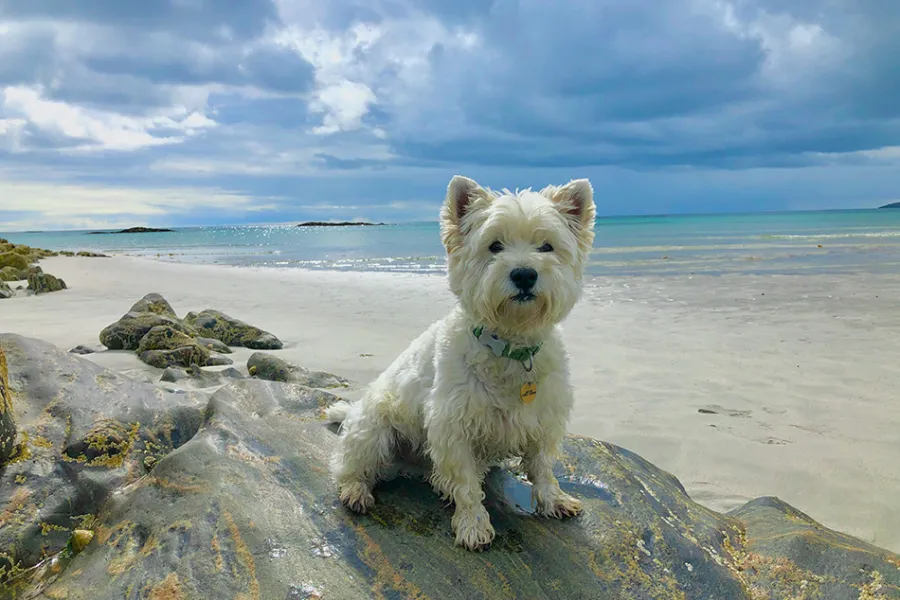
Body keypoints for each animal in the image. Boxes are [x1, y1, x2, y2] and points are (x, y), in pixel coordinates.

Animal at [326, 176, 596, 552]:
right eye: (494, 246)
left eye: (546, 246)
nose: (524, 274)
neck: (510, 345)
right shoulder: (452, 425)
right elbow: (466, 485)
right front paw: (473, 525)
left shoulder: (543, 418)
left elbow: (541, 467)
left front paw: (554, 500)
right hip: (374, 429)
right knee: (348, 465)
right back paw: (356, 491)